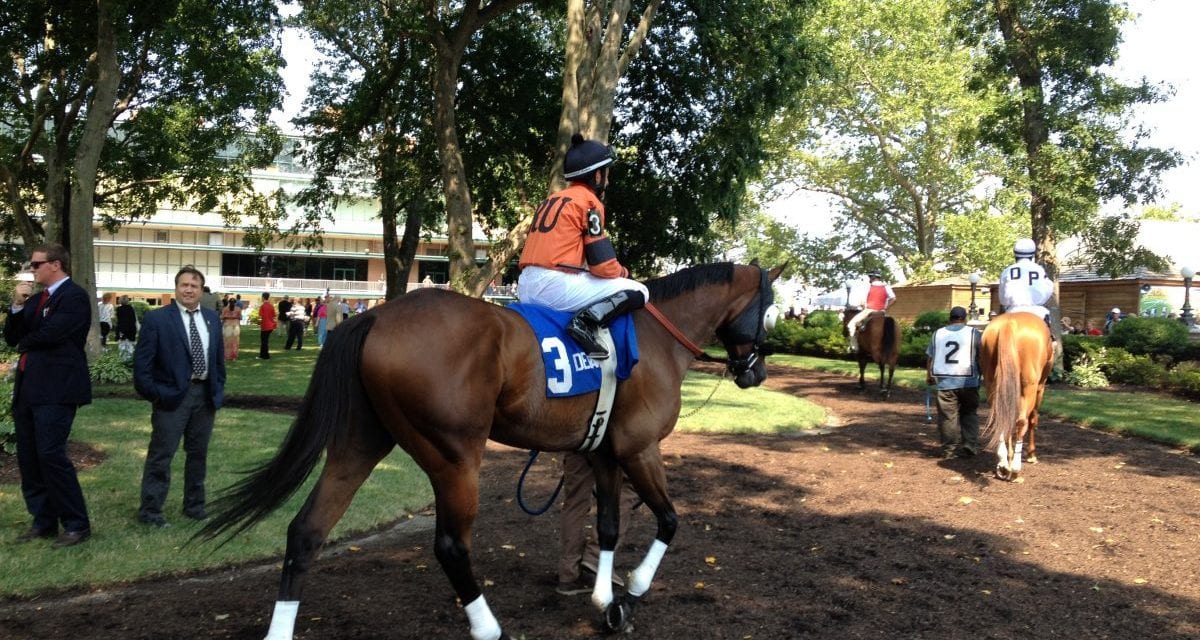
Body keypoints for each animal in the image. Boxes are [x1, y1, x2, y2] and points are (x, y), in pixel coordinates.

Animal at [201, 260, 782, 638]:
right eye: (771, 308)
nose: (756, 372)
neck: (657, 336)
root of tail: (374, 315)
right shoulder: (639, 449)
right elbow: (668, 521)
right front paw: (630, 597)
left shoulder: (602, 451)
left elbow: (608, 525)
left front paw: (602, 597)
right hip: (455, 457)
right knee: (451, 546)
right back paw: (489, 628)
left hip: (358, 443)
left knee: (307, 531)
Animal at [979, 309, 1056, 480]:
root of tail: (1009, 324)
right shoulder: (1040, 387)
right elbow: (1033, 419)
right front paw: (1031, 455)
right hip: (1030, 386)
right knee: (1022, 422)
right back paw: (1015, 467)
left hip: (991, 384)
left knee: (1001, 418)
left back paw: (1003, 463)